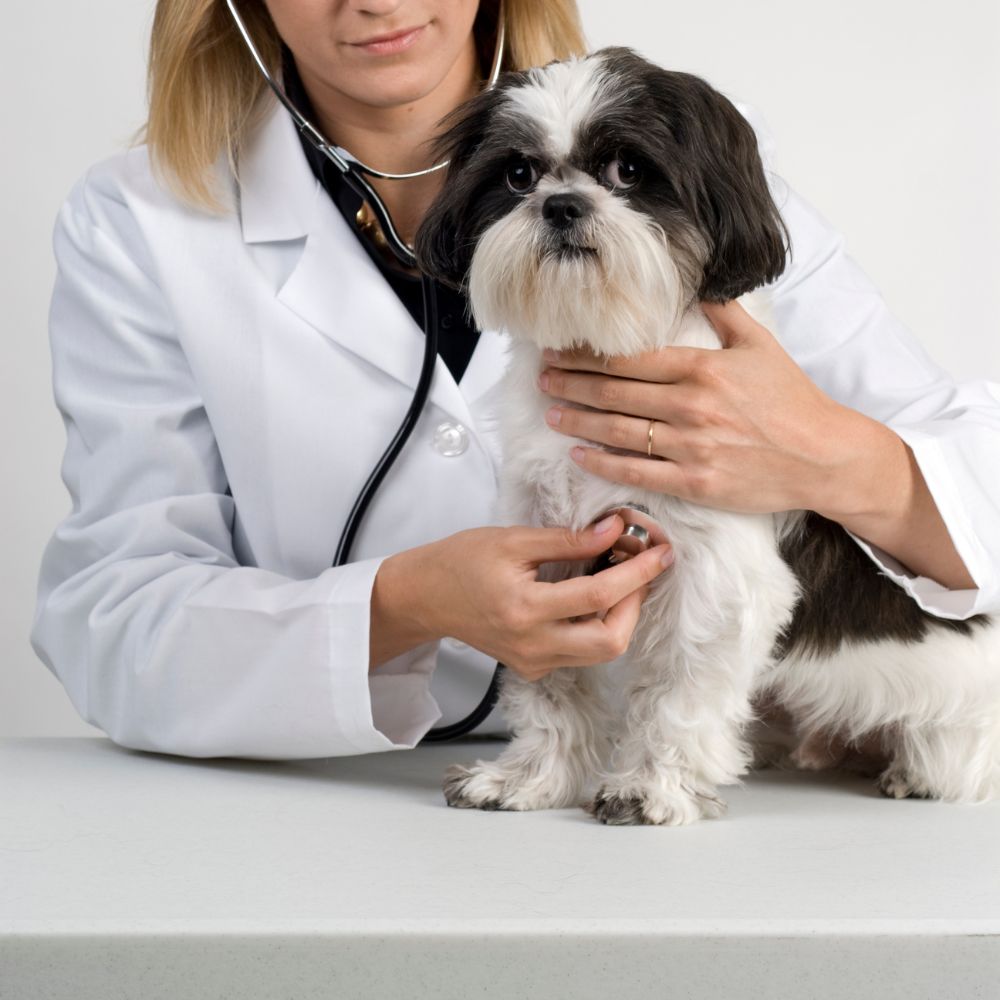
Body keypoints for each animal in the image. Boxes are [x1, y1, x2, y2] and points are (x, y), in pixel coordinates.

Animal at [410, 47, 996, 824]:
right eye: (518, 175)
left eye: (628, 170)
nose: (562, 204)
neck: (609, 347)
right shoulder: (550, 553)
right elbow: (550, 682)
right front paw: (532, 776)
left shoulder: (713, 572)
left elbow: (679, 686)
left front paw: (650, 785)